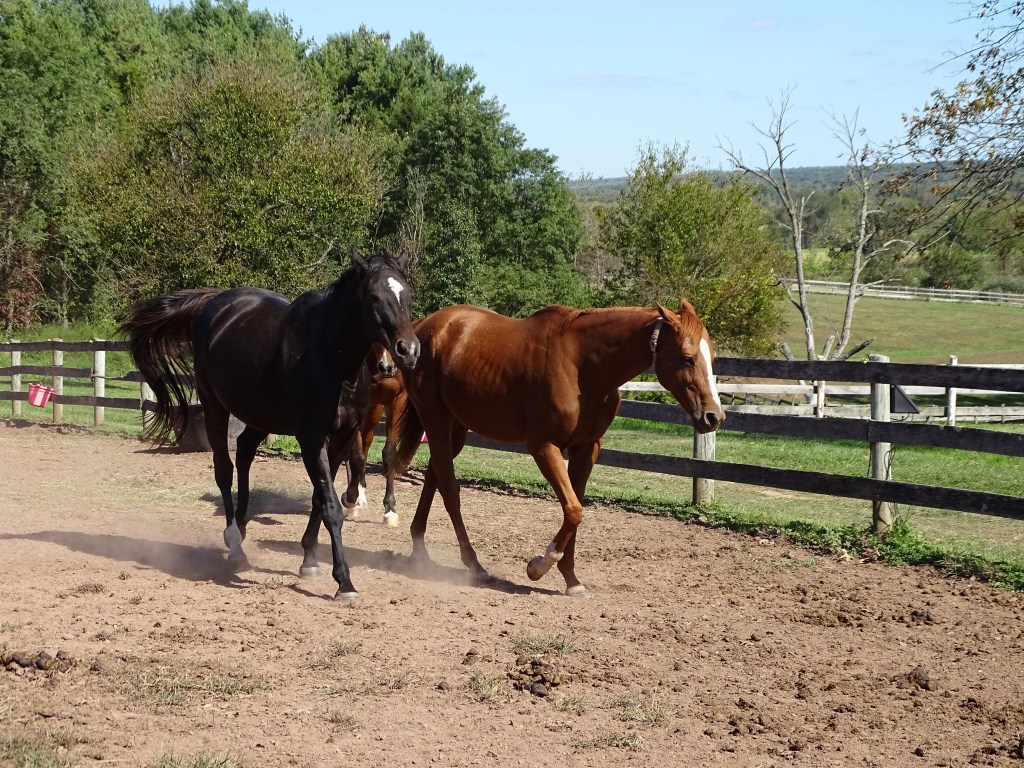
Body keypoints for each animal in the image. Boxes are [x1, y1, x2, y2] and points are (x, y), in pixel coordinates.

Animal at [119, 251, 420, 603]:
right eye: (374, 297)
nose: (407, 351)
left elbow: (320, 498)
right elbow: (330, 504)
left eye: (407, 295)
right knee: (225, 470)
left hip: (261, 415)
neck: (330, 356)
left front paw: (309, 559)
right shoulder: (310, 436)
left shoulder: (343, 435)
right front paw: (344, 582)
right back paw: (234, 542)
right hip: (215, 407)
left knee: (245, 449)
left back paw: (242, 527)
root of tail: (215, 302)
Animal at [390, 300, 725, 597]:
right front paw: (538, 565)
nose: (714, 417)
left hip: (456, 427)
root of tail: (425, 326)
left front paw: (572, 581)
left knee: (434, 475)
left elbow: (574, 508)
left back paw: (420, 550)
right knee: (449, 489)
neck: (582, 366)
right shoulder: (544, 446)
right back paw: (474, 565)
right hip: (435, 418)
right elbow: (573, 509)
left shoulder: (586, 449)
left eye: (711, 358)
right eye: (687, 358)